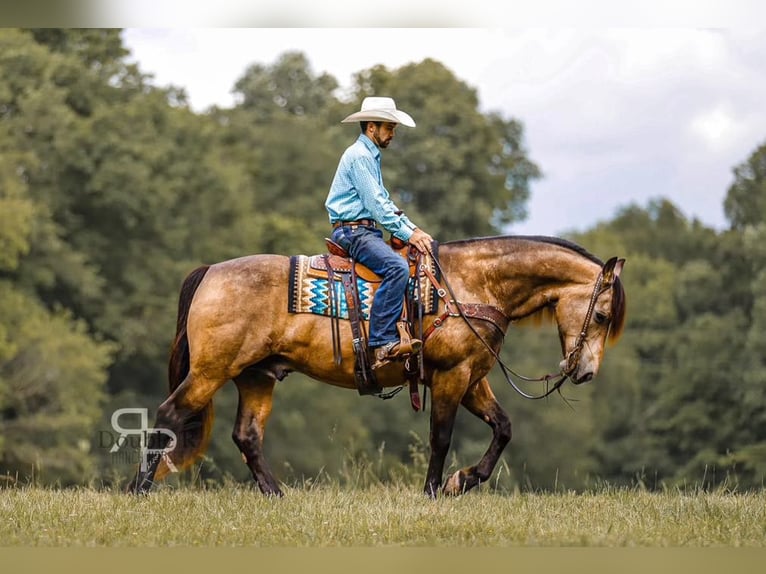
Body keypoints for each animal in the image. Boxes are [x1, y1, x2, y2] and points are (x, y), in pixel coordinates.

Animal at [129, 234, 628, 500]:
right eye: (603, 315)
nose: (585, 372)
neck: (471, 285)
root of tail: (211, 271)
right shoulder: (451, 376)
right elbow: (441, 437)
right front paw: (434, 491)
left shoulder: (472, 378)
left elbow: (503, 428)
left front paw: (462, 481)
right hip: (211, 371)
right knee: (169, 415)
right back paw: (137, 490)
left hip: (257, 376)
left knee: (247, 436)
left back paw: (279, 496)